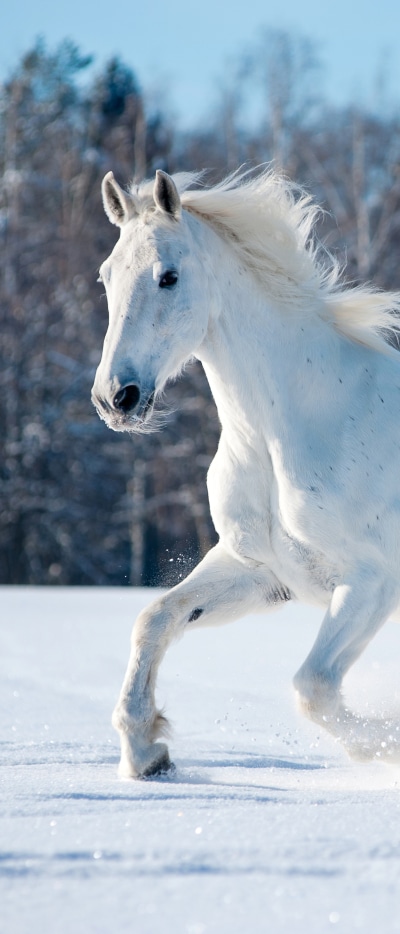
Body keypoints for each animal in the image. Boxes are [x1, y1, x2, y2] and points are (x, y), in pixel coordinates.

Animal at [92, 166, 400, 779]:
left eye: (168, 276)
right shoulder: (260, 571)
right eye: (106, 277)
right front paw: (146, 752)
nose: (117, 398)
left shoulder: (373, 582)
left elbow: (313, 688)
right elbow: (156, 618)